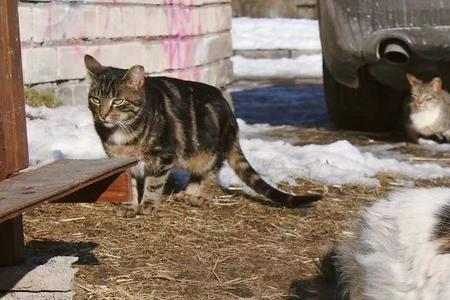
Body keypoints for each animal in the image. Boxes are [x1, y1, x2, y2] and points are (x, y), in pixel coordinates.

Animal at [81, 55, 320, 217]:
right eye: (95, 99)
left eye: (118, 101)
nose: (103, 114)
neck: (123, 131)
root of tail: (229, 112)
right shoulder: (121, 162)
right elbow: (128, 186)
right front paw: (129, 206)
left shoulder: (163, 156)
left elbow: (154, 183)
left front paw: (147, 205)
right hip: (193, 151)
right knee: (197, 173)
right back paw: (187, 194)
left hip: (211, 150)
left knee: (211, 174)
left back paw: (201, 196)